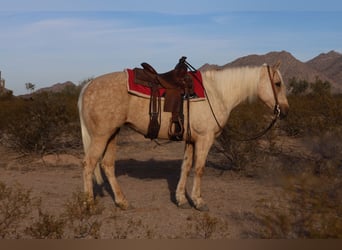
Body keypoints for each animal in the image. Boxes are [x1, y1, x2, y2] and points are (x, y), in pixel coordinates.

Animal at [77, 61, 288, 210]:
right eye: (277, 84)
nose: (284, 111)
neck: (217, 93)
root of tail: (88, 85)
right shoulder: (204, 139)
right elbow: (199, 169)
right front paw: (198, 201)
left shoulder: (191, 140)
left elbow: (185, 167)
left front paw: (180, 199)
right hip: (101, 136)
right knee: (89, 164)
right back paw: (89, 203)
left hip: (112, 134)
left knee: (107, 165)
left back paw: (122, 202)